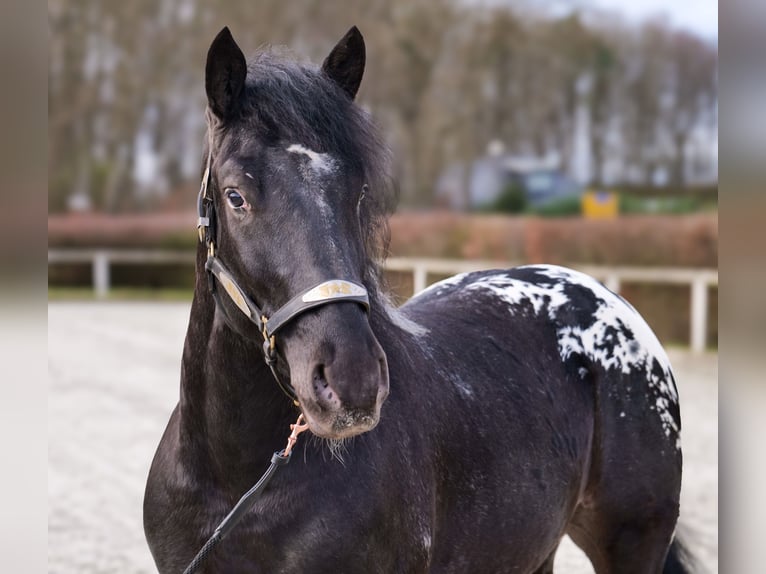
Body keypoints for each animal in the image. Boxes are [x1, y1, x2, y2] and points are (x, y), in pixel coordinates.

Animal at [144, 24, 688, 572]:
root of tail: (601, 297)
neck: (238, 486)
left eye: (358, 193)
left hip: (632, 544)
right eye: (236, 196)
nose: (353, 381)